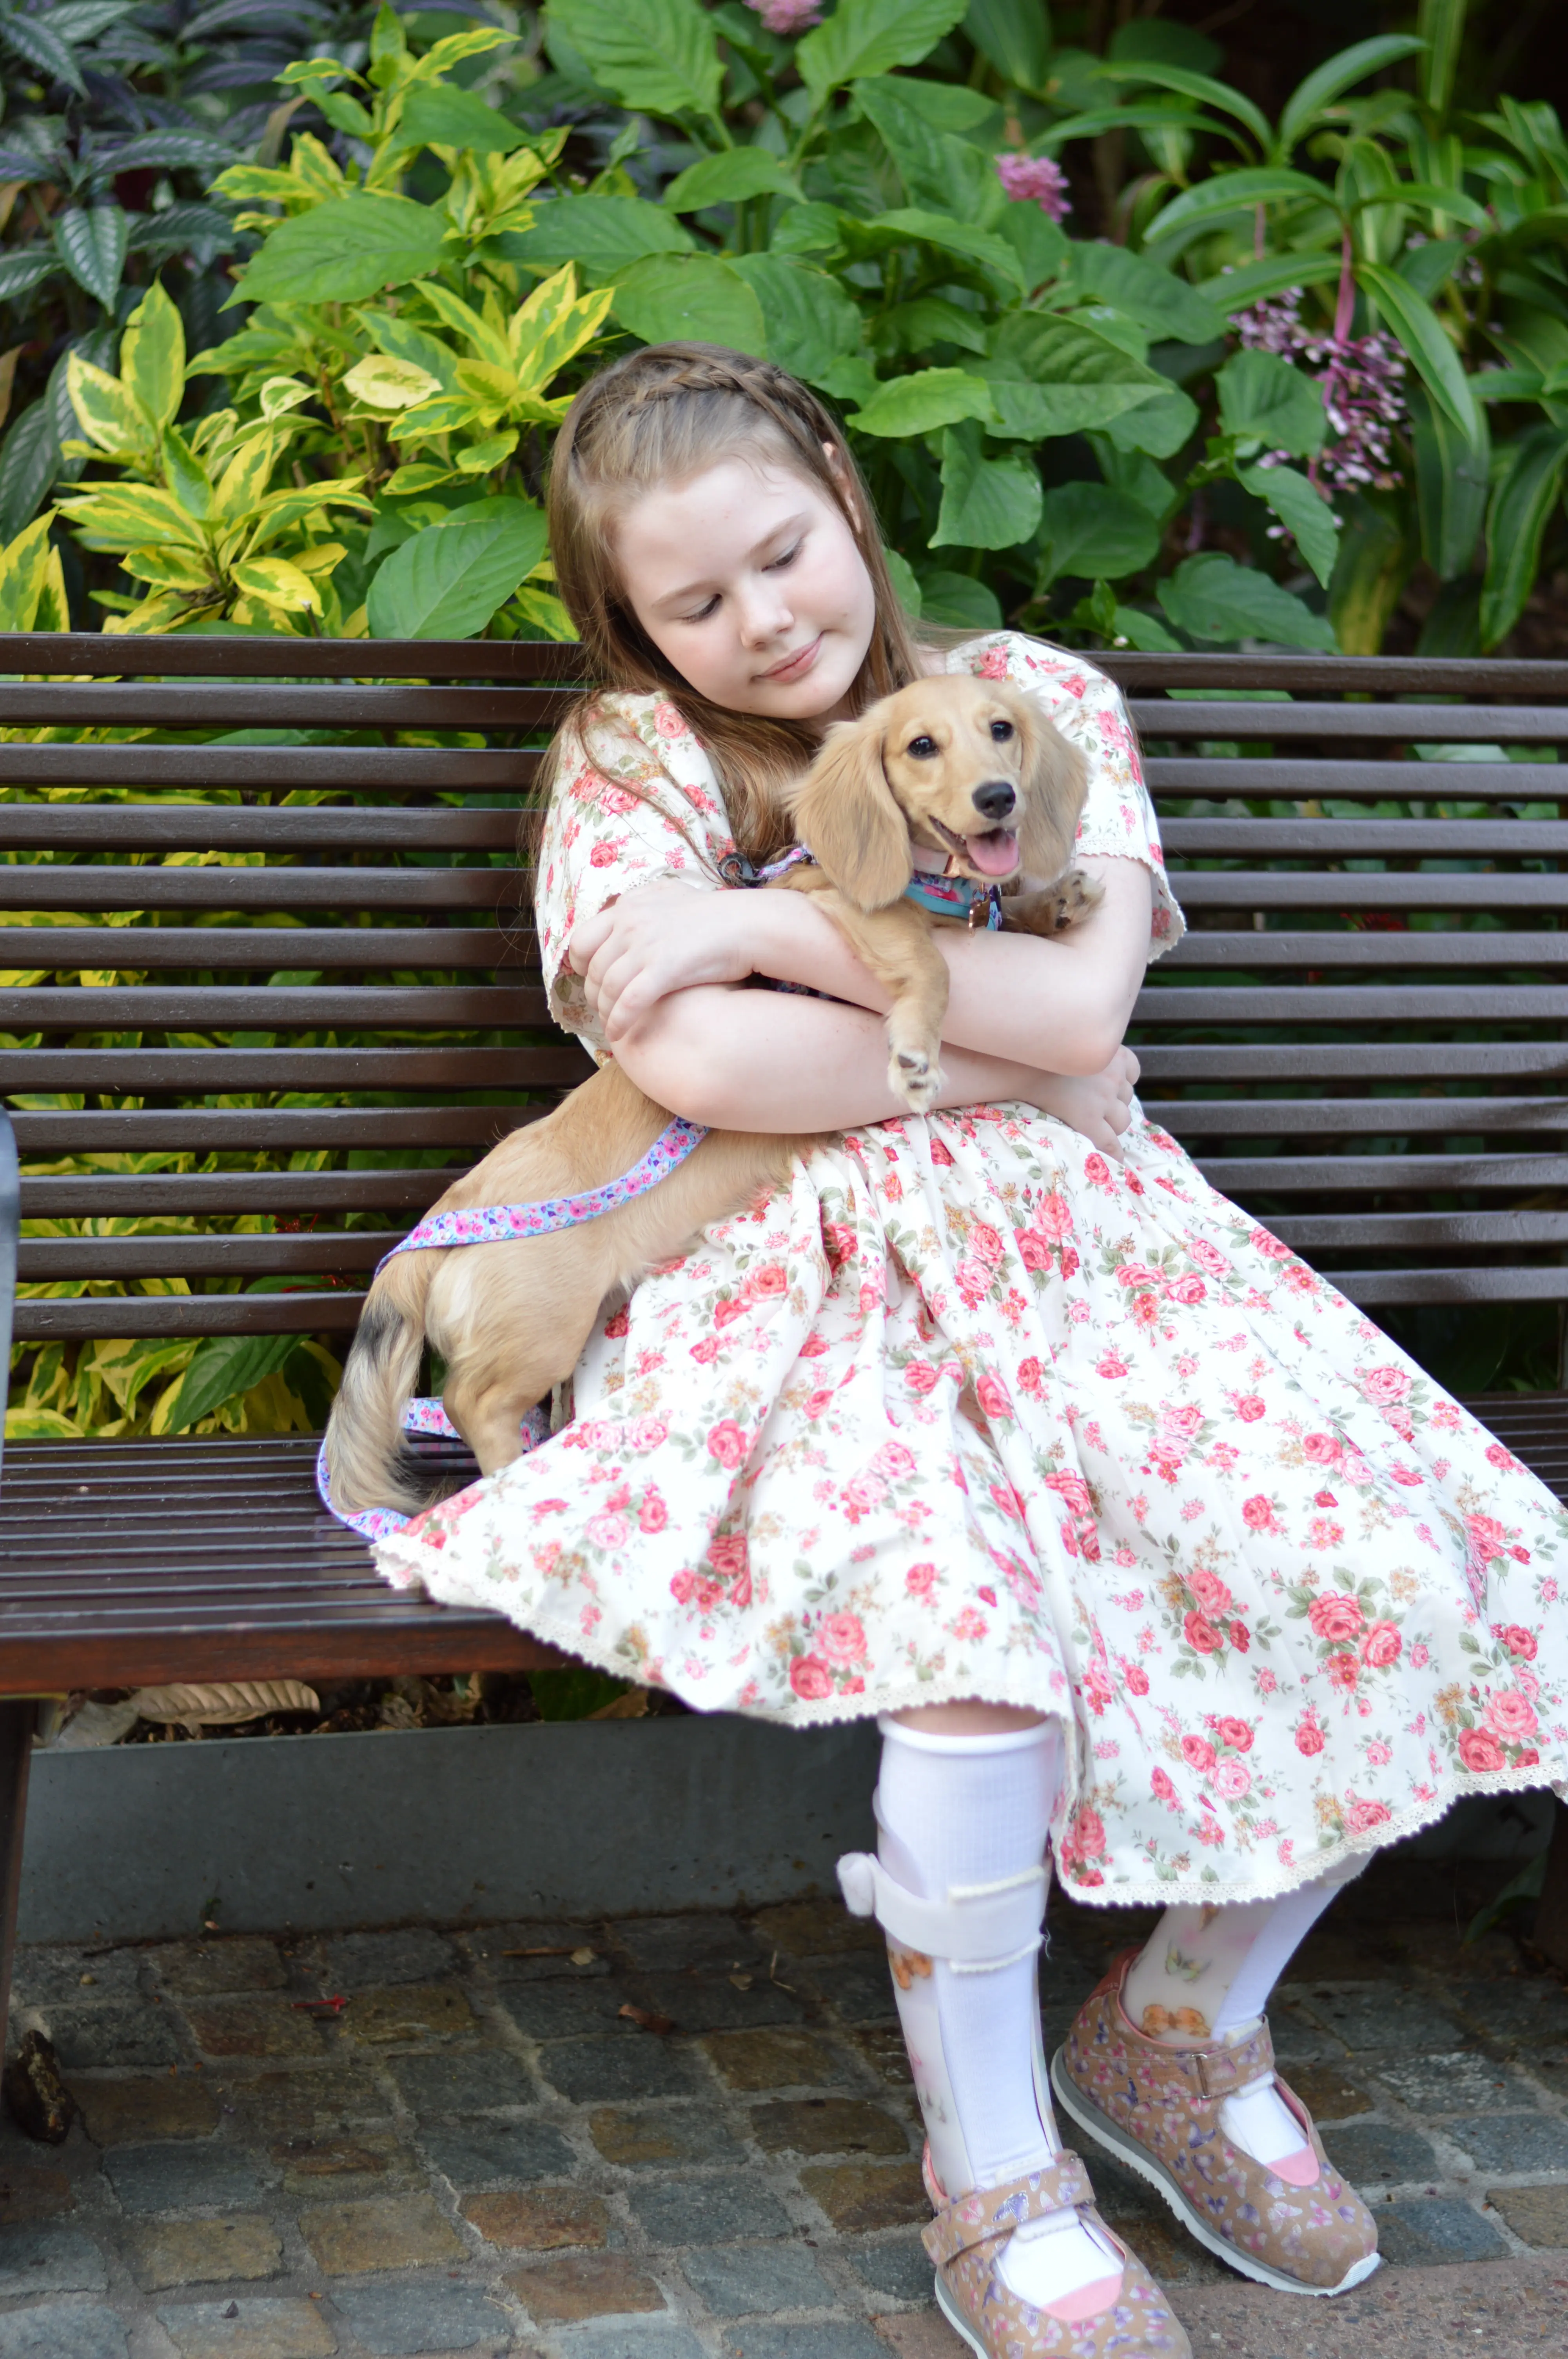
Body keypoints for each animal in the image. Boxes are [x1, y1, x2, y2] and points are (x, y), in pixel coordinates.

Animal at [321, 674, 1089, 1519]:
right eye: (921, 746)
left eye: (1001, 729)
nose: (998, 797)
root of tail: (446, 1221)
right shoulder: (839, 907)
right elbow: (925, 952)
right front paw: (916, 1046)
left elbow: (1000, 923)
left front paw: (1051, 903)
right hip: (540, 1326)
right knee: (474, 1401)